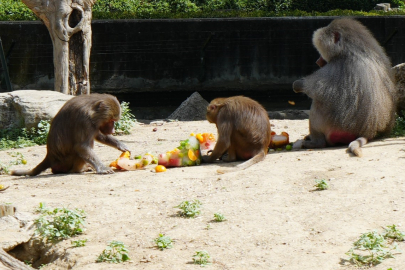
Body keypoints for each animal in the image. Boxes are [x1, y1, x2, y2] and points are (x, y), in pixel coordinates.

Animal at [292, 17, 396, 157]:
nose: (317, 61)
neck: (356, 48)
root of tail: (367, 132)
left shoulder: (338, 65)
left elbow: (314, 89)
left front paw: (297, 85)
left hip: (335, 125)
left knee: (318, 104)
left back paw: (315, 143)